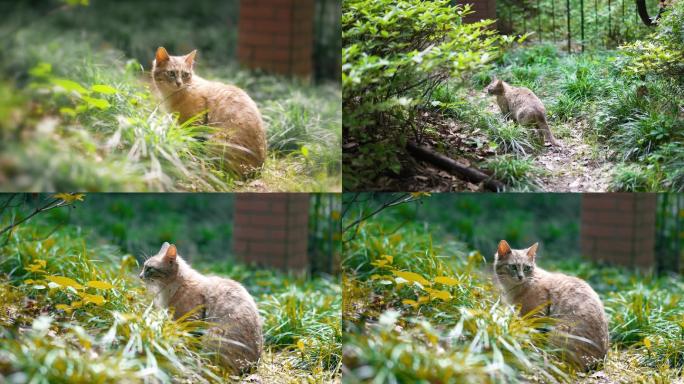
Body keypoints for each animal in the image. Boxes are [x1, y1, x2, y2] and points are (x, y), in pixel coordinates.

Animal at [140, 243, 264, 372]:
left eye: (149, 269)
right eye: (144, 267)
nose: (140, 276)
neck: (172, 288)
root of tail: (254, 365)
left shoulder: (191, 322)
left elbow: (189, 343)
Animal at [152, 46, 268, 177]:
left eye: (185, 74)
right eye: (171, 73)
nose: (179, 83)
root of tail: (257, 170)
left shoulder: (195, 123)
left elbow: (193, 143)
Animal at [492, 238, 608, 370]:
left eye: (527, 268)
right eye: (513, 267)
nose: (521, 276)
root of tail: (599, 360)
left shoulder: (536, 316)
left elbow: (534, 335)